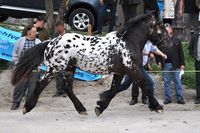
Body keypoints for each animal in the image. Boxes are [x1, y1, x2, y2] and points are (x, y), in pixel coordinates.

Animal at [11, 13, 166, 115]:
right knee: (40, 85)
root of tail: (51, 42)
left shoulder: (120, 72)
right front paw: (157, 106)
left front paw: (99, 107)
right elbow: (145, 85)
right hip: (55, 69)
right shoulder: (132, 69)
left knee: (67, 88)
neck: (128, 43)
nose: (164, 44)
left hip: (69, 68)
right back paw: (27, 108)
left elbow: (113, 90)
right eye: (161, 29)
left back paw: (81, 109)